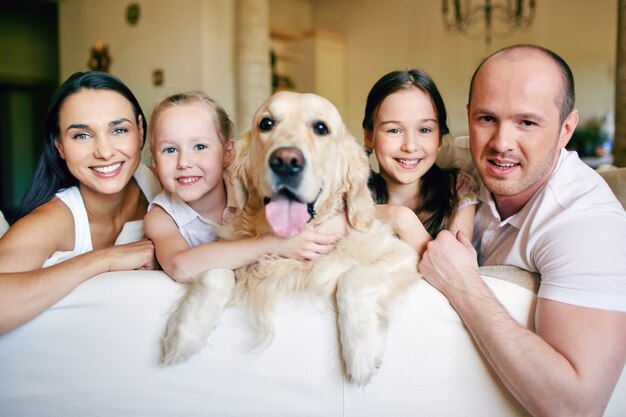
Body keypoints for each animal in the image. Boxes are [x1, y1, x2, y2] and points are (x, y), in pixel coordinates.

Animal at [163, 91, 422, 384]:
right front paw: (185, 333)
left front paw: (362, 351)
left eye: (321, 128)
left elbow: (352, 279)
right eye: (266, 123)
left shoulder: (403, 253)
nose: (286, 161)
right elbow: (215, 273)